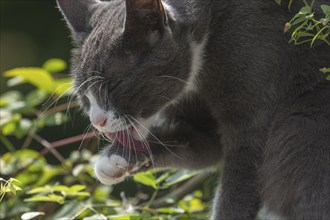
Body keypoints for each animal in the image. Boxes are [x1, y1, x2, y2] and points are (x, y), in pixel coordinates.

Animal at [58, 0, 330, 218]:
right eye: (84, 94)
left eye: (114, 85)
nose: (97, 121)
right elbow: (202, 143)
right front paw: (115, 160)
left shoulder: (256, 77)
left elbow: (240, 178)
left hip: (305, 124)